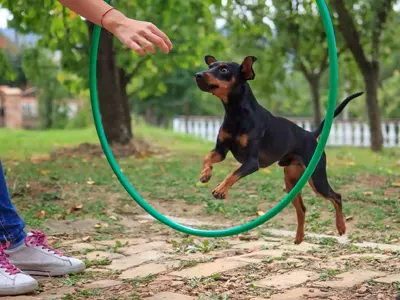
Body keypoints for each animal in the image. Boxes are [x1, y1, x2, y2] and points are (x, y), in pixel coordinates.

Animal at [195, 55, 364, 244]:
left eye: (224, 69)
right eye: (210, 66)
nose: (198, 75)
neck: (236, 114)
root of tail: (311, 135)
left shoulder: (252, 162)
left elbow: (232, 173)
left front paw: (221, 189)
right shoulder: (221, 150)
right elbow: (208, 157)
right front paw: (205, 174)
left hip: (317, 179)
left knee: (336, 197)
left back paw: (341, 227)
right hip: (291, 183)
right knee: (302, 209)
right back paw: (299, 237)